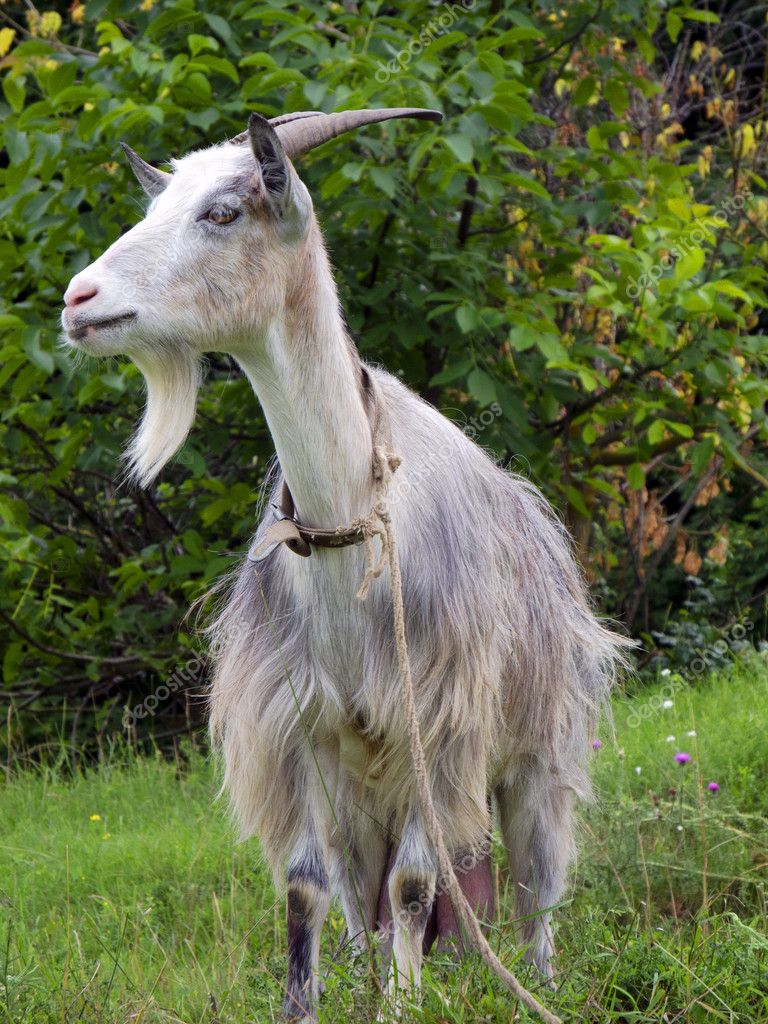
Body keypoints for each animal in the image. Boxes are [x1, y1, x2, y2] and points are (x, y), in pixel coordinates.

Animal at [63, 108, 630, 1019]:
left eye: (224, 211)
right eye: (158, 206)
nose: (79, 300)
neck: (350, 531)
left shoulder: (439, 719)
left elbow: (413, 885)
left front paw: (403, 1005)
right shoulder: (302, 726)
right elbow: (309, 885)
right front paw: (313, 1004)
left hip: (534, 749)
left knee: (534, 891)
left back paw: (538, 985)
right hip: (366, 781)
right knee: (367, 892)